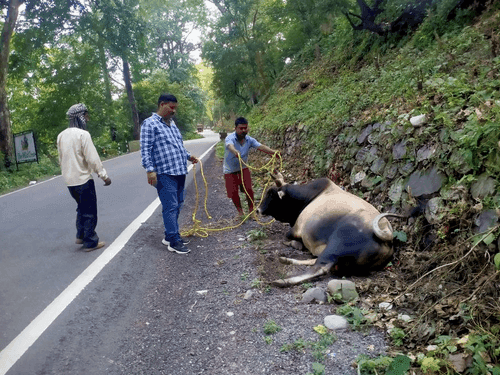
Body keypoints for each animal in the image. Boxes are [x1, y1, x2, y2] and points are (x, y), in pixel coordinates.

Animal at [258, 173, 402, 288]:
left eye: (271, 193)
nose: (258, 210)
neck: (308, 196)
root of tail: (387, 238)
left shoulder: (296, 229)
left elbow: (287, 237)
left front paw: (294, 244)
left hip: (337, 244)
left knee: (321, 267)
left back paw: (282, 281)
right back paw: (286, 260)